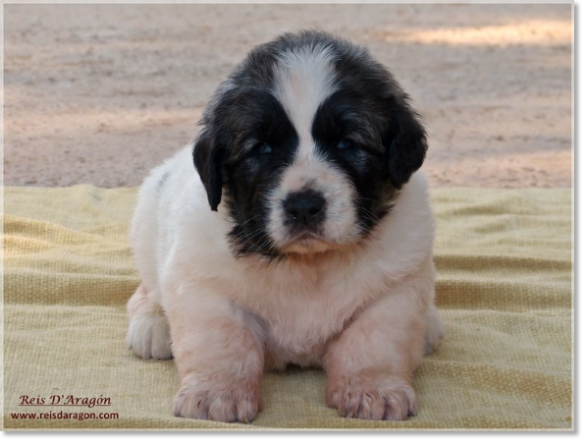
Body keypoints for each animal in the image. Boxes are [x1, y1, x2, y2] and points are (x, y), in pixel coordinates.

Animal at [126, 29, 442, 424]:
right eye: (261, 149)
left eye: (346, 143)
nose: (304, 206)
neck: (309, 264)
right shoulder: (202, 282)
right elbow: (222, 341)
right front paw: (217, 393)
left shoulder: (397, 287)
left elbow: (373, 340)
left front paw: (373, 389)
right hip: (148, 217)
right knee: (148, 288)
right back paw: (153, 324)